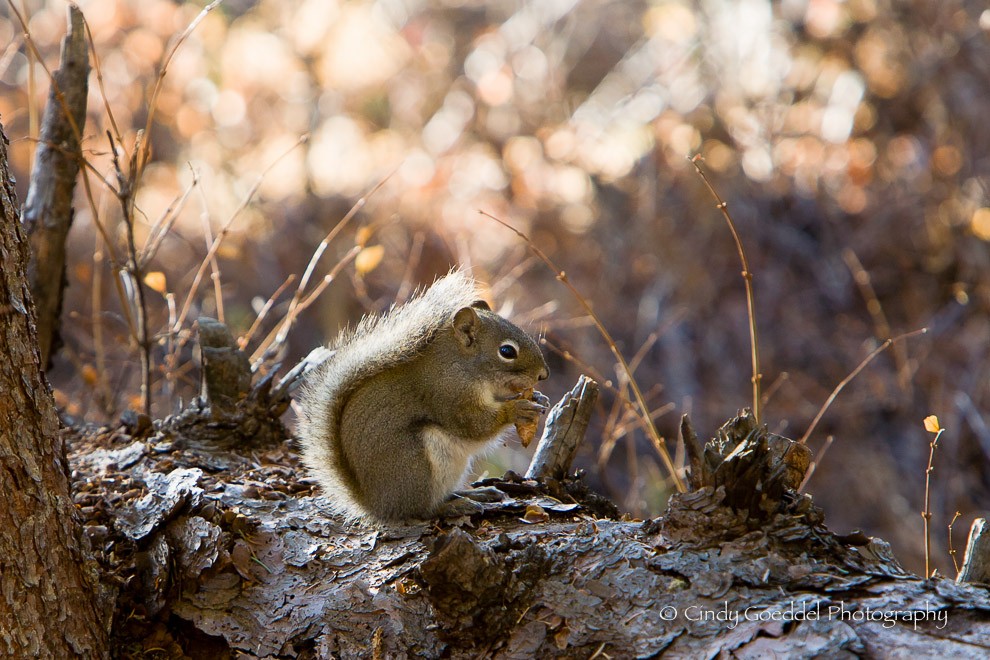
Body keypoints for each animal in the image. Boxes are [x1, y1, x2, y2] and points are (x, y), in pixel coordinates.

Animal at [298, 270, 556, 524]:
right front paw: (516, 409)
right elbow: (474, 424)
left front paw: (539, 397)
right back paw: (453, 506)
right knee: (422, 510)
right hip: (416, 465)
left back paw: (476, 493)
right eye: (507, 351)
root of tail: (376, 504)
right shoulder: (449, 393)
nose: (544, 374)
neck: (461, 364)